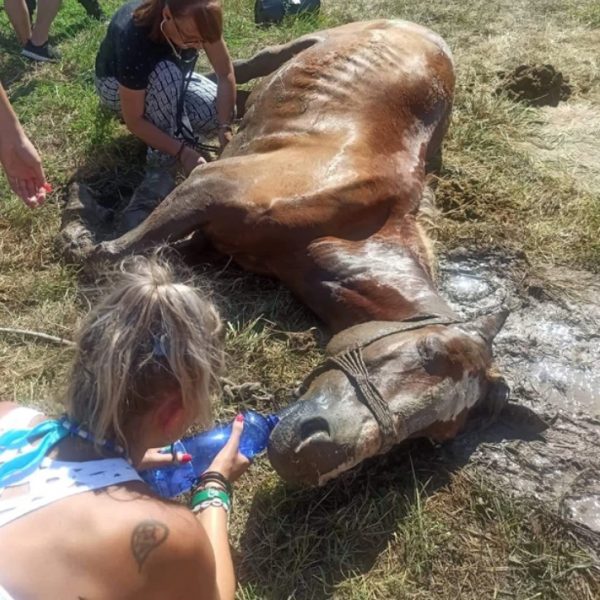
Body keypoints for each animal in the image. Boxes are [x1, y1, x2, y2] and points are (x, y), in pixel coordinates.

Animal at [64, 18, 506, 488]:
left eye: (433, 436)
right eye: (429, 351)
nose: (318, 456)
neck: (350, 224)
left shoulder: (211, 240)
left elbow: (147, 256)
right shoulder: (207, 186)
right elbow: (108, 254)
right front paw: (80, 214)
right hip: (298, 46)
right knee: (240, 68)